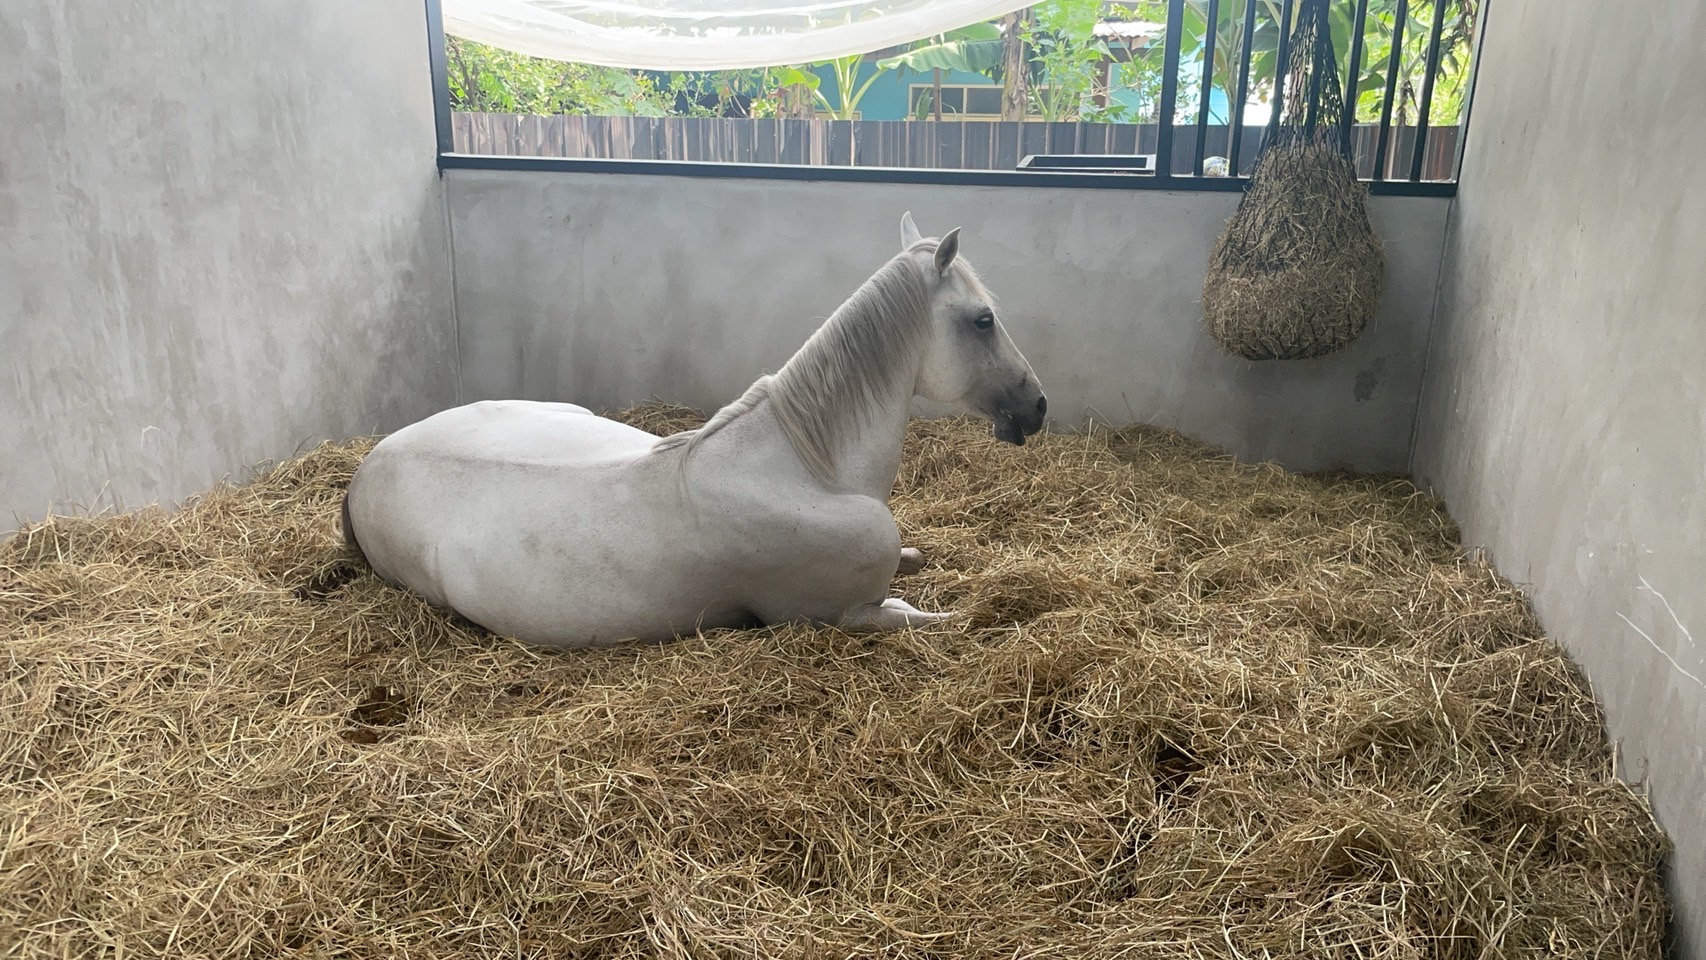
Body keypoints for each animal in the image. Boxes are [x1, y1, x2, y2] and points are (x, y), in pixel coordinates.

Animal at [341, 212, 1047, 648]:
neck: (806, 469)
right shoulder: (847, 615)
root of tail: (363, 472)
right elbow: (930, 616)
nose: (1037, 405)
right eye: (983, 320)